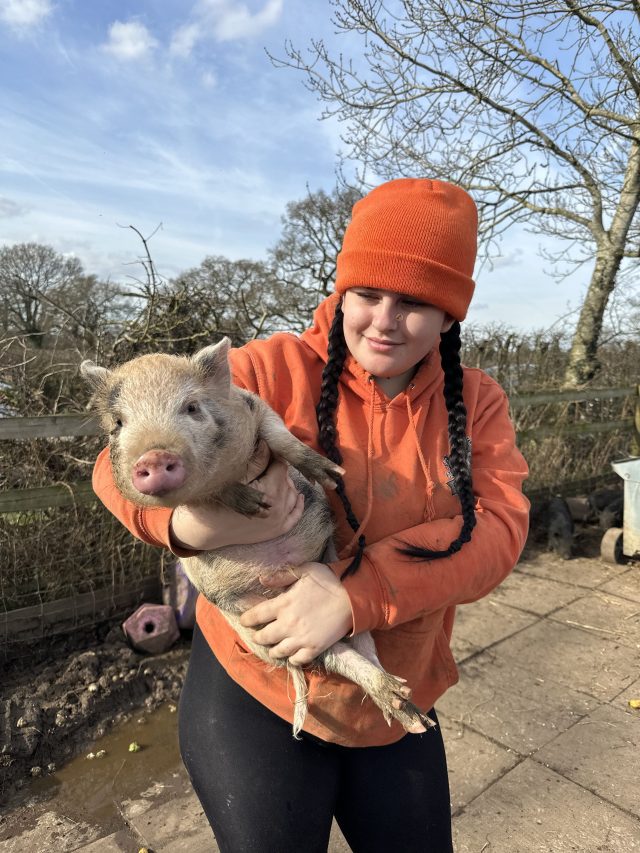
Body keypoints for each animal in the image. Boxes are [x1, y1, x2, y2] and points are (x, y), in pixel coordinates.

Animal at [82, 338, 432, 736]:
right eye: (118, 423)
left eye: (192, 407)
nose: (153, 457)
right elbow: (209, 494)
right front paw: (254, 505)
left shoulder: (255, 406)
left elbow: (282, 438)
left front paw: (330, 475)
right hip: (265, 632)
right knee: (336, 656)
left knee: (362, 645)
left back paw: (411, 713)